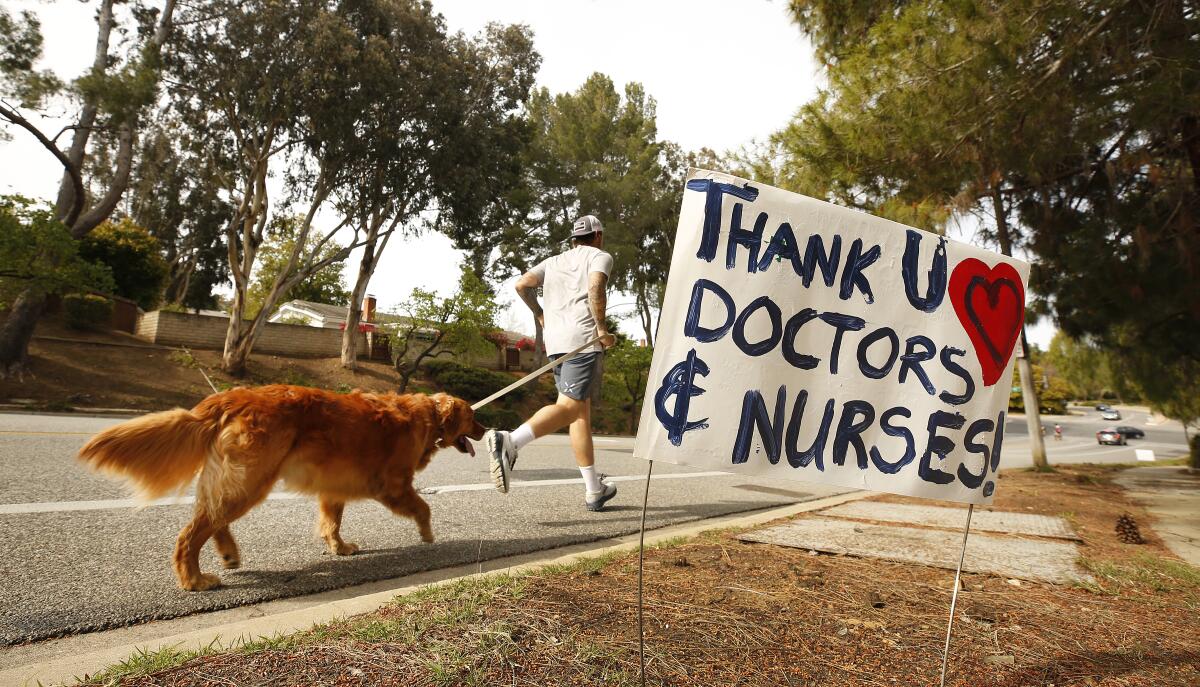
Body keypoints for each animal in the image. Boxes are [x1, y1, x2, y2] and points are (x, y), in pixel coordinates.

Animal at [76, 386, 482, 590]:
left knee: (212, 517)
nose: (486, 429)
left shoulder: (333, 486)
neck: (427, 416)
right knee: (191, 533)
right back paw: (193, 579)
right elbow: (423, 507)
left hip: (240, 480)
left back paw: (228, 554)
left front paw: (338, 547)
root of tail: (229, 397)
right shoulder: (394, 483)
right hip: (251, 479)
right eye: (473, 417)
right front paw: (427, 535)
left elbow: (332, 521)